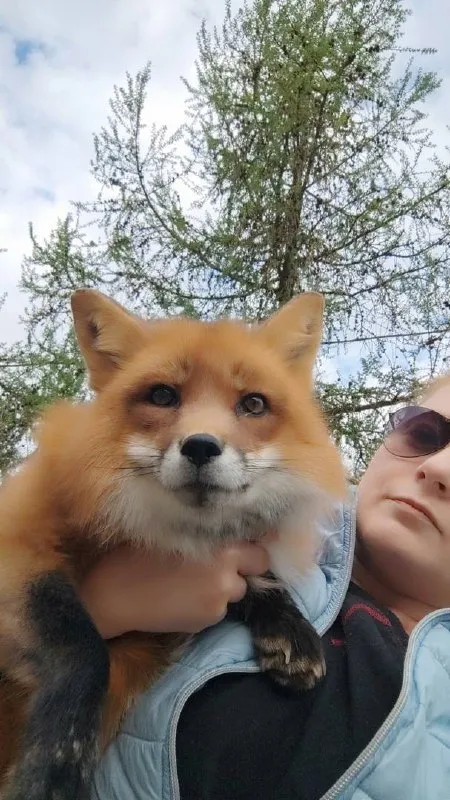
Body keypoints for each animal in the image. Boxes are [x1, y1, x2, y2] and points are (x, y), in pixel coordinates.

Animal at [0, 288, 345, 800]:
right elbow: (84, 651)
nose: (201, 446)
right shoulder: (19, 538)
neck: (161, 531)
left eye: (253, 404)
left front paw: (288, 623)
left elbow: (257, 574)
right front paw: (55, 773)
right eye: (163, 395)